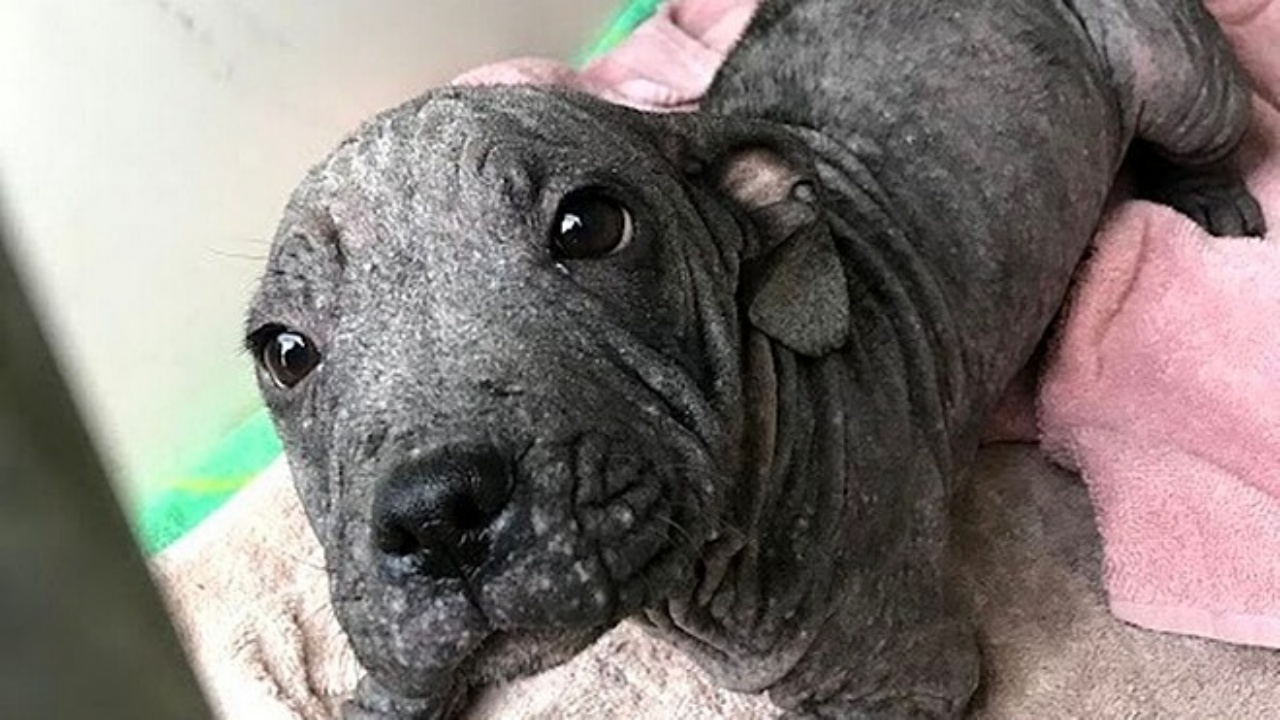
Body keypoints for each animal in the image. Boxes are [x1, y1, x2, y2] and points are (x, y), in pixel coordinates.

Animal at [244, 2, 1264, 712]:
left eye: (590, 225)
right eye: (284, 352)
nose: (435, 516)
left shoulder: (899, 683)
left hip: (1176, 78)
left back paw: (1208, 195)